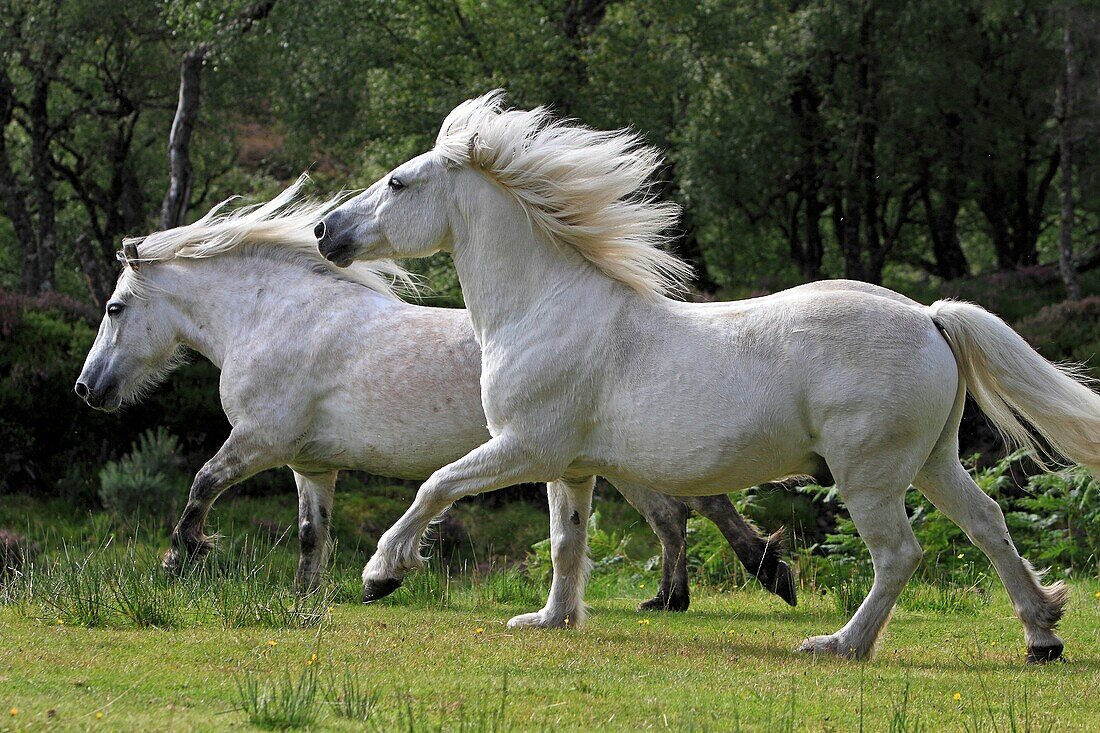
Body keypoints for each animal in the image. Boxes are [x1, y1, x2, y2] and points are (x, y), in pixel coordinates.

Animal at [75, 179, 800, 607]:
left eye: (114, 307)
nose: (87, 388)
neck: (272, 317)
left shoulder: (259, 440)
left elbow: (201, 484)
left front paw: (180, 558)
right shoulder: (311, 463)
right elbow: (312, 533)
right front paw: (308, 599)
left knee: (689, 508)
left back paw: (757, 571)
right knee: (676, 514)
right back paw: (681, 594)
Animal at [316, 93, 1100, 660]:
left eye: (398, 181)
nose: (326, 231)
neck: (544, 308)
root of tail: (930, 317)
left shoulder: (524, 447)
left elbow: (434, 485)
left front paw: (382, 575)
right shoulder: (569, 466)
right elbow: (568, 542)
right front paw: (549, 620)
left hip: (869, 472)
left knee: (898, 555)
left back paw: (838, 644)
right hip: (933, 460)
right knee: (989, 525)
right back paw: (1043, 634)